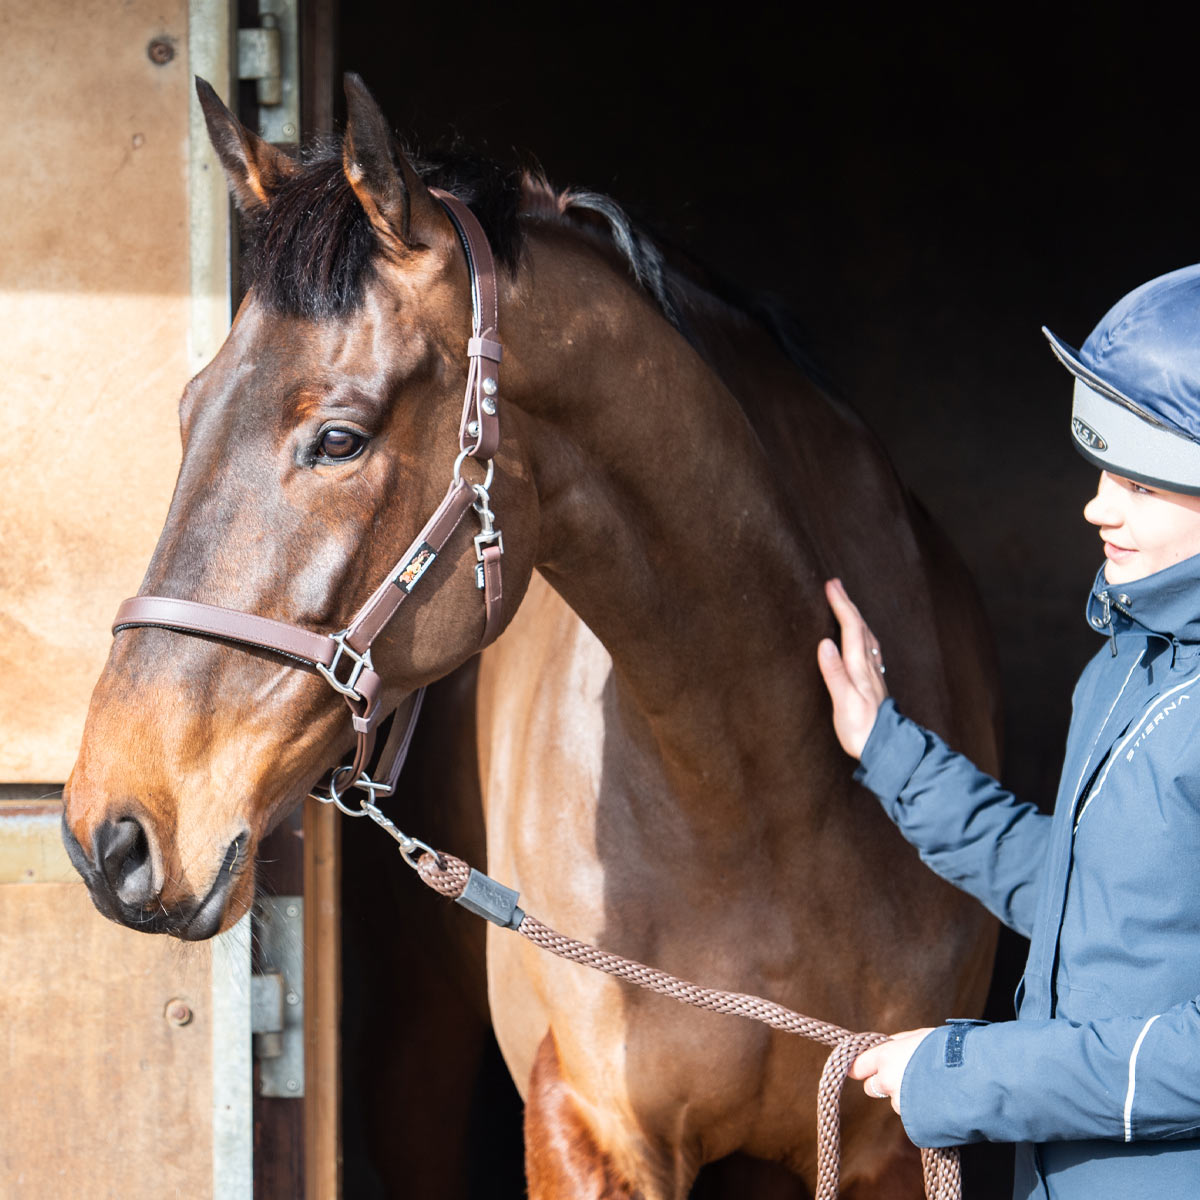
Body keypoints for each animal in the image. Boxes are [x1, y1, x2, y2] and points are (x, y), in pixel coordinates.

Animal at [65, 77, 1003, 1200]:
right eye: (188, 410)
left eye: (339, 438)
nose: (110, 835)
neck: (767, 791)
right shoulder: (586, 1128)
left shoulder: (895, 1148)